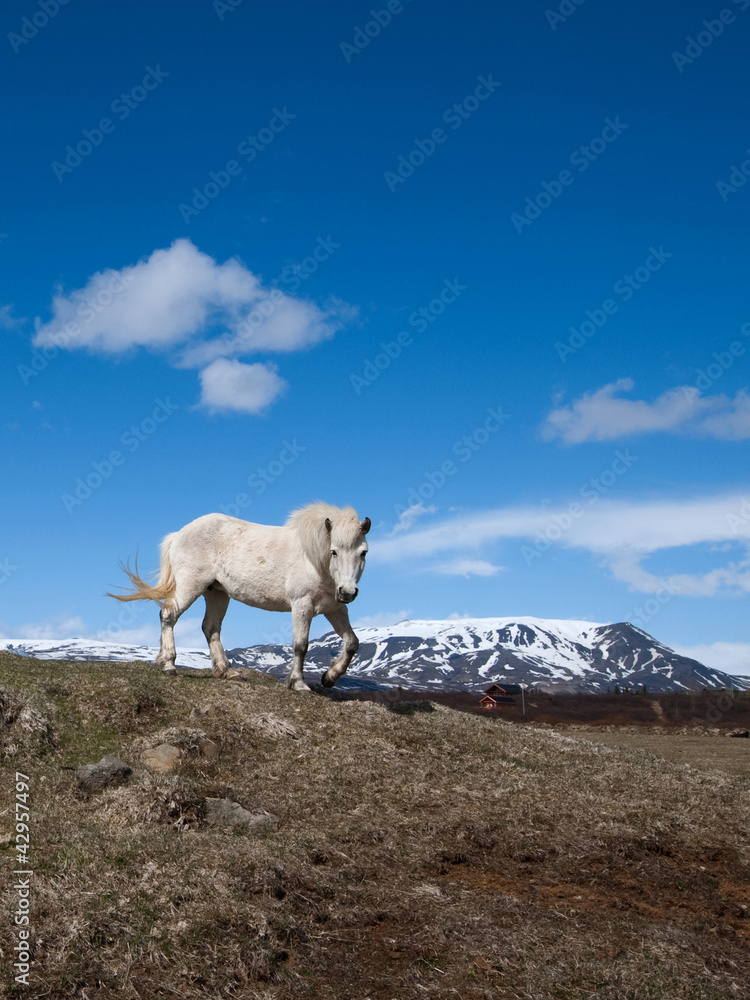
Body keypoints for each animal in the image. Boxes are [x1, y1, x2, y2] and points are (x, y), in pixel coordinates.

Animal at [109, 502, 371, 691]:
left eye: (363, 552)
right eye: (334, 551)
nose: (348, 592)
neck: (314, 559)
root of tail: (179, 534)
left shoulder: (335, 609)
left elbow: (352, 643)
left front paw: (329, 678)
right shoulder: (302, 605)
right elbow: (300, 646)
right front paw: (298, 683)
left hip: (216, 594)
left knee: (210, 628)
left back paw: (226, 671)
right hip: (190, 586)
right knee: (168, 615)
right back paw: (169, 664)